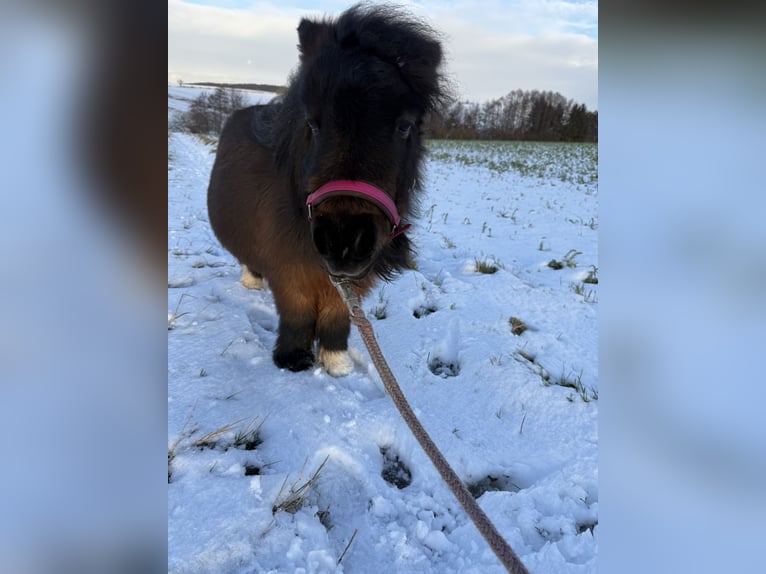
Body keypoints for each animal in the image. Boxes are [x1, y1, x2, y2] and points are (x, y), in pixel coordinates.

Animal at [208, 4, 450, 378]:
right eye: (312, 122)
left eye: (405, 126)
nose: (343, 240)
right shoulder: (290, 275)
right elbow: (296, 314)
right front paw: (293, 359)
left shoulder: (351, 283)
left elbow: (337, 318)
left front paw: (337, 362)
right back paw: (252, 281)